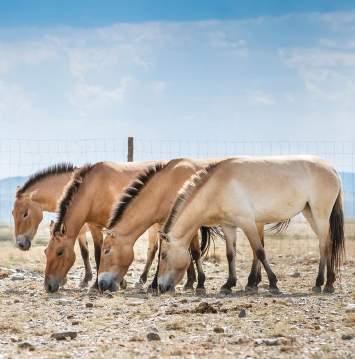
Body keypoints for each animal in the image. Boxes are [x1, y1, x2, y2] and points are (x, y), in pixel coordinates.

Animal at [43, 162, 164, 294]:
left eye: (59, 252)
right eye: (46, 251)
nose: (48, 286)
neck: (95, 190)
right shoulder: (94, 227)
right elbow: (98, 254)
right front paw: (103, 284)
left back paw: (154, 284)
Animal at [158, 158, 344, 296]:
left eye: (164, 255)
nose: (160, 287)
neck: (219, 186)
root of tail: (332, 169)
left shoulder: (247, 222)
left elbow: (259, 251)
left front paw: (273, 283)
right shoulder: (228, 226)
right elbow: (230, 254)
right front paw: (228, 284)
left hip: (320, 214)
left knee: (324, 244)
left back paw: (323, 283)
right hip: (309, 212)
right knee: (327, 243)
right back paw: (327, 283)